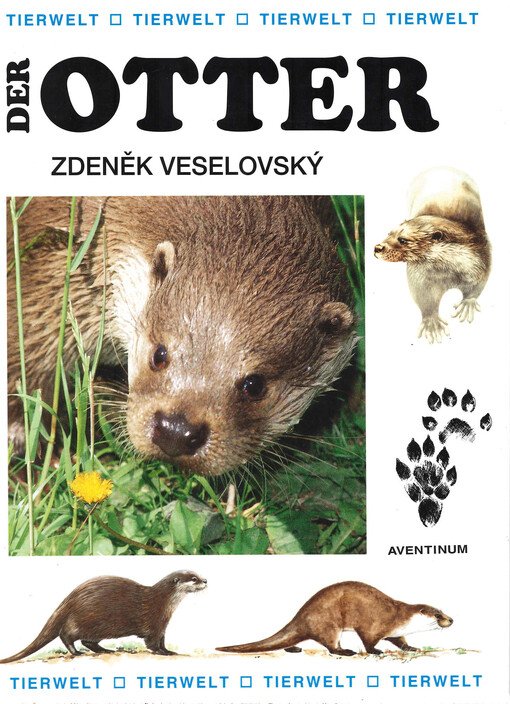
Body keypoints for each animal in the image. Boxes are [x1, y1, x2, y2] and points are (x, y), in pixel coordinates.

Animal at [0, 570, 207, 663]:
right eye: (194, 579)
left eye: (197, 575)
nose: (205, 580)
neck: (162, 602)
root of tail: (69, 600)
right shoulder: (154, 624)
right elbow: (152, 644)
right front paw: (165, 653)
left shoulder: (162, 626)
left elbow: (162, 641)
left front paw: (169, 650)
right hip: (88, 620)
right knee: (67, 635)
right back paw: (76, 652)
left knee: (87, 641)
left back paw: (106, 650)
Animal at [217, 580, 453, 656]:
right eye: (437, 614)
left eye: (443, 611)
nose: (451, 620)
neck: (399, 615)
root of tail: (301, 615)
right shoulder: (374, 625)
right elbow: (368, 640)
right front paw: (375, 651)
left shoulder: (395, 632)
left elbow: (401, 641)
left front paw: (412, 647)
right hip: (328, 624)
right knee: (330, 645)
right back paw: (345, 651)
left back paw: (294, 648)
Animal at [374, 167, 491, 343]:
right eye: (388, 234)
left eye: (402, 239)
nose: (378, 247)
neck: (450, 273)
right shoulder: (420, 278)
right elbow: (424, 298)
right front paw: (432, 323)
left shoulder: (483, 259)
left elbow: (478, 285)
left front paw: (467, 304)